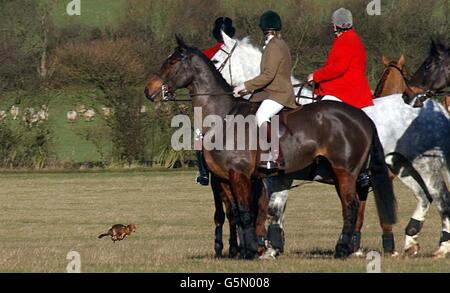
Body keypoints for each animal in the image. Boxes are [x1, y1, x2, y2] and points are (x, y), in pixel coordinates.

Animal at [145, 36, 398, 258]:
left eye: (172, 62)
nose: (149, 91)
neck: (224, 116)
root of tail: (362, 117)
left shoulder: (240, 176)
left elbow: (247, 212)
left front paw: (252, 251)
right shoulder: (225, 179)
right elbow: (236, 213)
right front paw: (248, 250)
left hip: (345, 172)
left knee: (351, 206)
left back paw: (344, 249)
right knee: (352, 207)